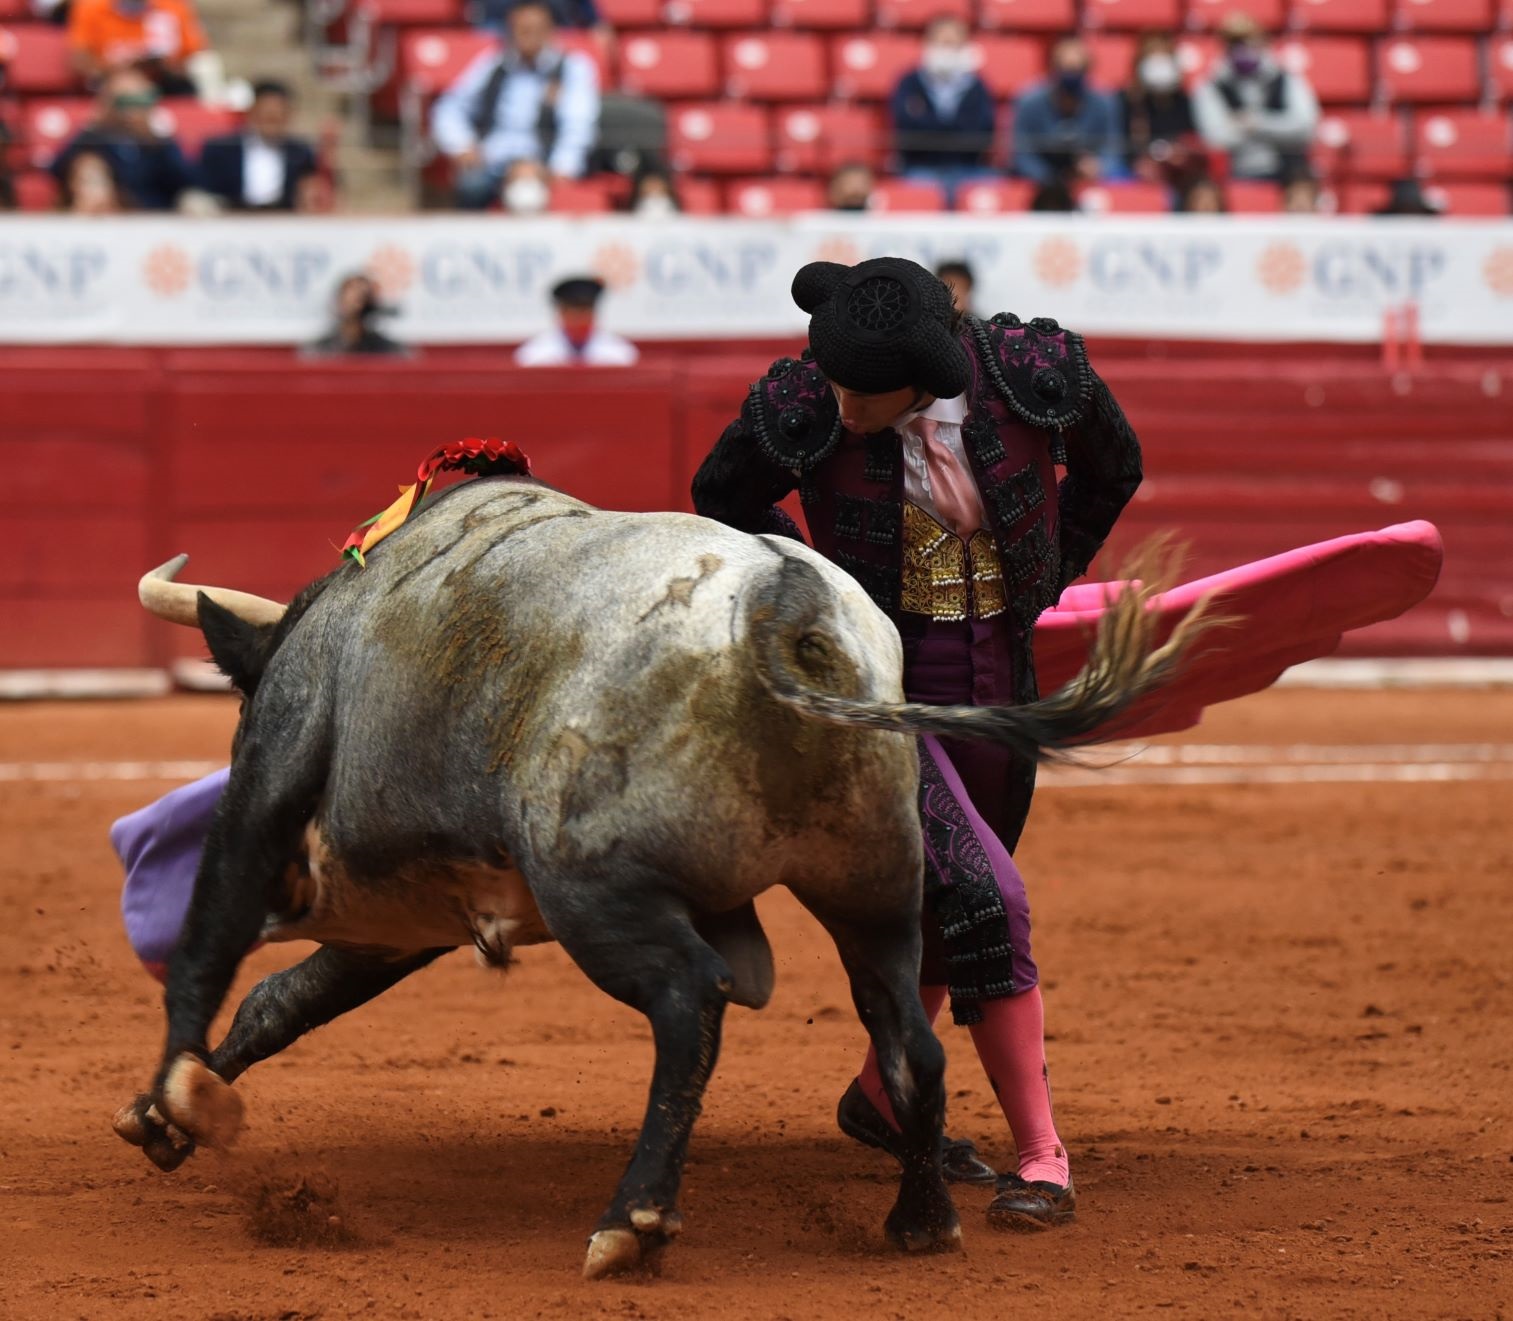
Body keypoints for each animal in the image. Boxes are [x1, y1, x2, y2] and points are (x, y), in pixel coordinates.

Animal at [111, 472, 1207, 1279]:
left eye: (246, 708)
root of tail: (782, 601)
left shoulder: (275, 777)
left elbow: (214, 937)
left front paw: (172, 1101)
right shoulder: (409, 913)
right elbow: (285, 996)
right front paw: (170, 1106)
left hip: (591, 889)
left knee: (689, 999)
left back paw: (630, 1220)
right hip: (875, 887)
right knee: (910, 1036)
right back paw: (920, 1216)